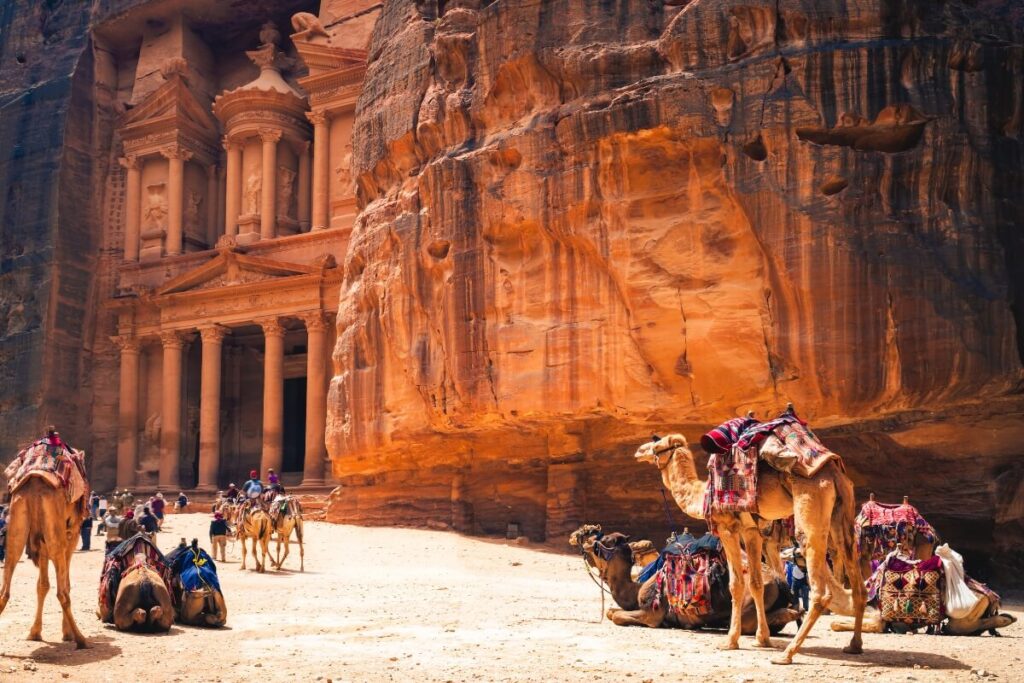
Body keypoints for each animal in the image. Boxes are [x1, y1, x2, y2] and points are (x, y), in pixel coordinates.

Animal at [0, 471, 89, 647]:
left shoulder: (41, 543)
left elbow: (42, 585)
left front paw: (34, 633)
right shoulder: (72, 534)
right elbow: (66, 585)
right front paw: (66, 634)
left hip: (16, 523)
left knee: (4, 591)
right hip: (56, 534)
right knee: (62, 593)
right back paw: (80, 639)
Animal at [569, 528, 798, 634]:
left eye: (604, 540)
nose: (584, 537)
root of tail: (780, 582)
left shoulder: (651, 613)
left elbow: (615, 616)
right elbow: (611, 611)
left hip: (750, 605)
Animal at [634, 432, 868, 663]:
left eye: (657, 446)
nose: (638, 451)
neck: (703, 494)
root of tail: (832, 471)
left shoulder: (727, 528)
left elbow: (736, 584)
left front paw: (730, 641)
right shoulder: (752, 531)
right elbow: (755, 583)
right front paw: (762, 639)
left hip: (810, 505)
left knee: (820, 591)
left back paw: (787, 653)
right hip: (843, 512)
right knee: (857, 582)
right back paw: (854, 645)